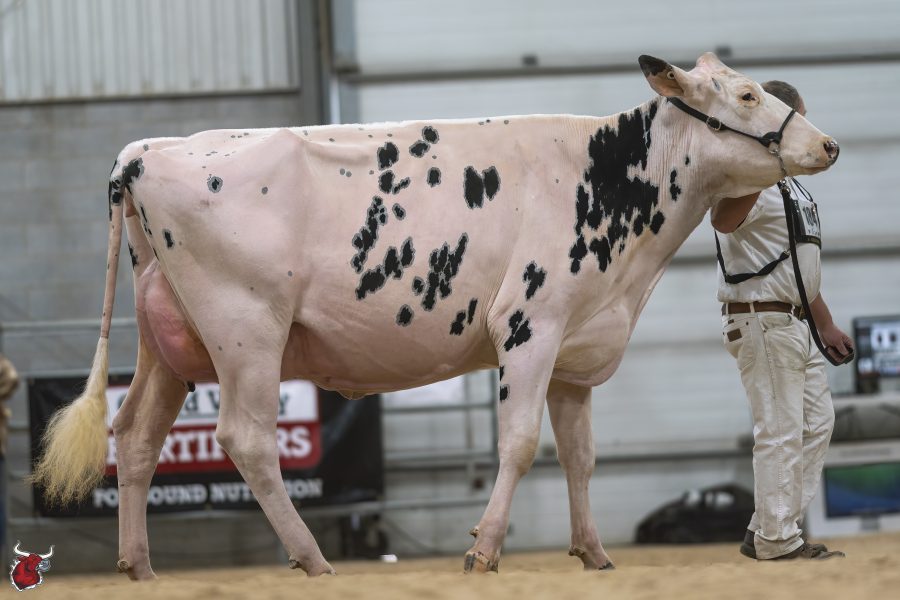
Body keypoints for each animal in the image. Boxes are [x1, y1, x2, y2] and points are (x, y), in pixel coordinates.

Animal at [31, 53, 839, 578]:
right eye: (745, 96)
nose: (827, 142)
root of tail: (148, 149)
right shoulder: (530, 326)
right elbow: (520, 444)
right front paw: (483, 548)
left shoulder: (575, 350)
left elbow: (579, 456)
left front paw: (593, 552)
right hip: (245, 330)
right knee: (246, 439)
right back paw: (311, 558)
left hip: (171, 341)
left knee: (134, 437)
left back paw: (138, 564)